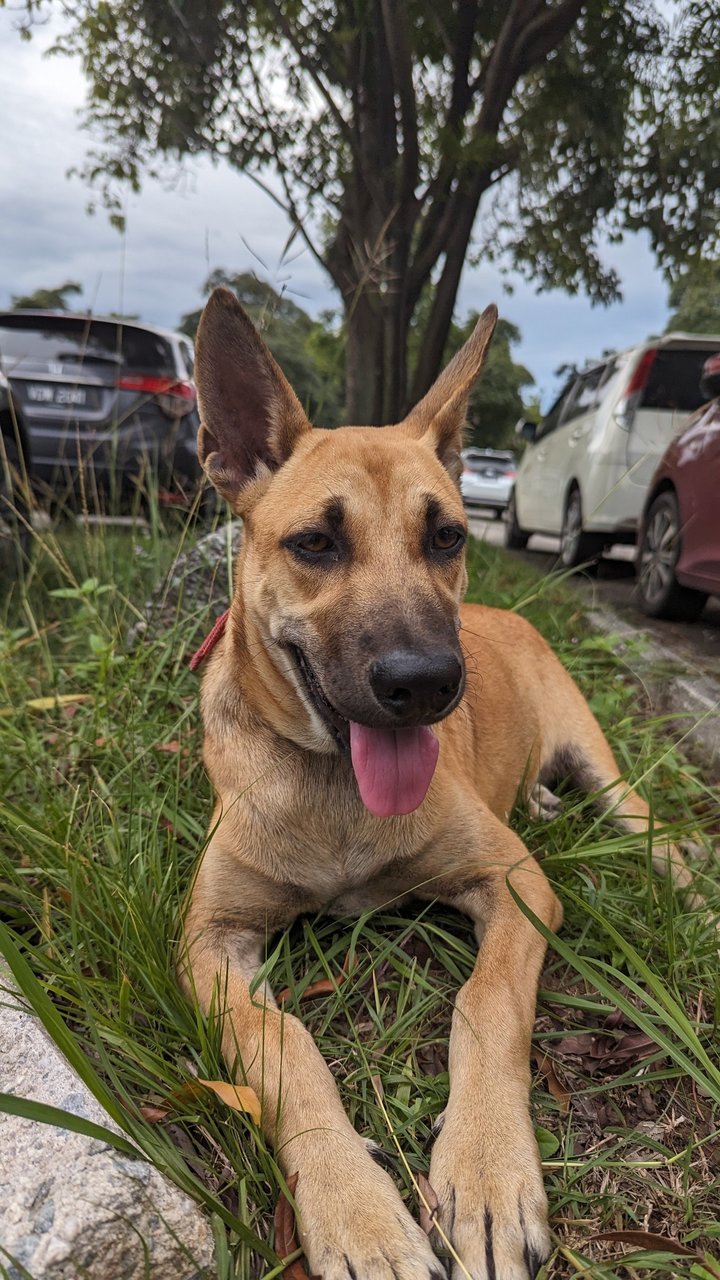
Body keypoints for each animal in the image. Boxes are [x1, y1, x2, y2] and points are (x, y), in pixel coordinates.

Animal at [179, 290, 691, 1280]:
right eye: (314, 542)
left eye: (447, 535)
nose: (426, 682)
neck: (337, 795)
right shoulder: (208, 941)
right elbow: (282, 1044)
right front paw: (358, 1214)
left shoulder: (517, 882)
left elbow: (485, 1003)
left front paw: (486, 1175)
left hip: (602, 766)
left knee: (658, 830)